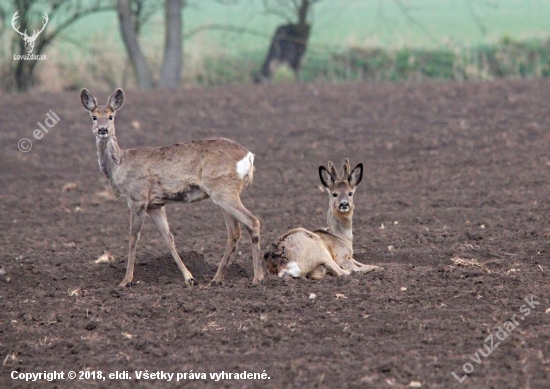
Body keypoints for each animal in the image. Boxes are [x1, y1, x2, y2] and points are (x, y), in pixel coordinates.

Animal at [79, 88, 266, 288]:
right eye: (94, 116)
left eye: (111, 116)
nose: (102, 130)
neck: (120, 165)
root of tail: (249, 156)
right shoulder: (155, 205)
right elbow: (168, 238)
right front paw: (189, 278)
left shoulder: (137, 198)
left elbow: (133, 238)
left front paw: (126, 280)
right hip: (223, 193)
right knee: (234, 232)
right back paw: (216, 279)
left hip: (224, 189)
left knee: (252, 221)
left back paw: (257, 278)